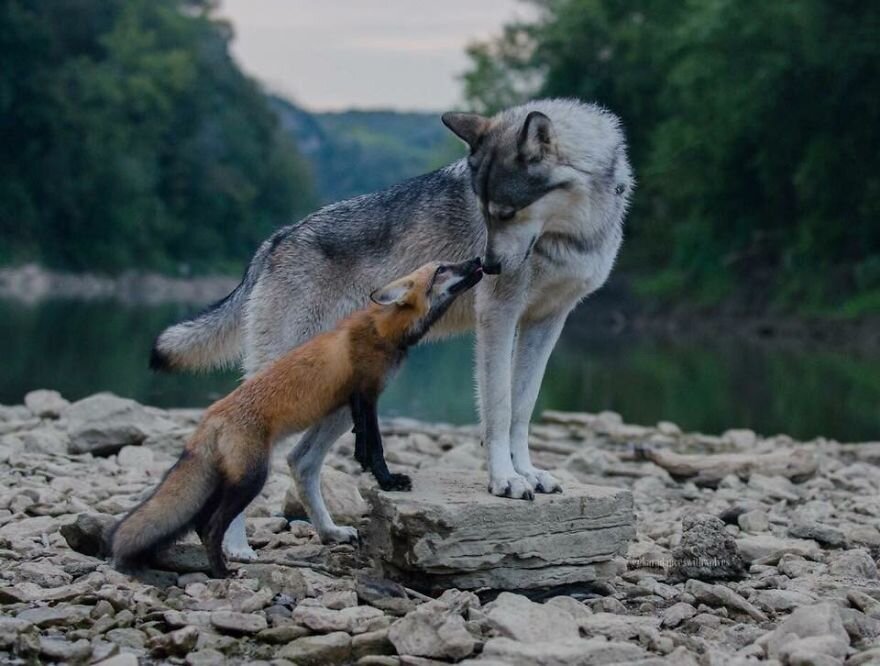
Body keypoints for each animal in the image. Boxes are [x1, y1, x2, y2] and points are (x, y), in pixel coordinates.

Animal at [111, 256, 484, 580]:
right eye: (442, 269)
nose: (478, 260)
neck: (382, 330)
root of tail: (209, 416)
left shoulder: (355, 400)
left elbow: (362, 447)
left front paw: (376, 476)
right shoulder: (367, 394)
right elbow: (375, 447)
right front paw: (388, 481)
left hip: (225, 481)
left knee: (202, 525)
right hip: (252, 478)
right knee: (213, 526)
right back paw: (222, 571)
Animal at [153, 97, 632, 556]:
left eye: (507, 213)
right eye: (487, 213)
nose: (488, 266)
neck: (573, 231)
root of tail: (275, 240)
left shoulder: (547, 322)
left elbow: (522, 408)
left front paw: (529, 472)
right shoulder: (499, 316)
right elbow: (498, 408)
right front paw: (505, 479)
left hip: (347, 394)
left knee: (301, 461)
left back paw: (329, 532)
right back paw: (235, 547)